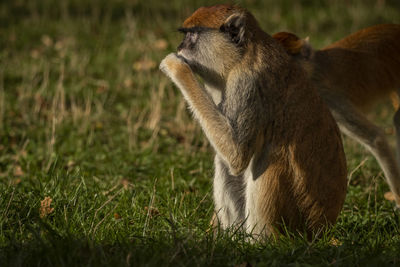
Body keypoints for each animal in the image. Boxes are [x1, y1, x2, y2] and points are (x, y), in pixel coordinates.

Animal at [159, 4, 346, 240]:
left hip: (300, 219)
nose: (179, 47)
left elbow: (237, 155)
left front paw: (176, 66)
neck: (241, 56)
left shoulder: (247, 82)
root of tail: (323, 227)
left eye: (191, 36)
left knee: (269, 160)